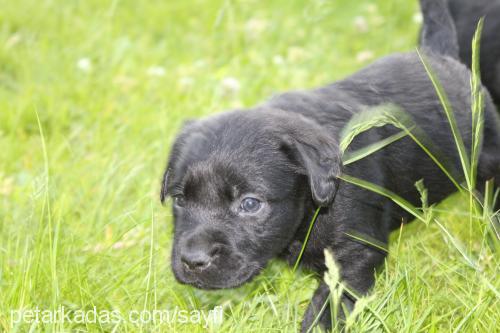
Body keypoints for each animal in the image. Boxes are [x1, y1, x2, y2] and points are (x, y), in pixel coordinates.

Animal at [161, 0, 500, 330]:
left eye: (249, 204)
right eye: (179, 200)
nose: (193, 260)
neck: (313, 204)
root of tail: (437, 55)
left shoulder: (354, 254)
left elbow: (325, 311)